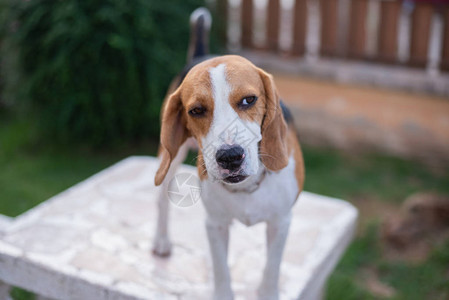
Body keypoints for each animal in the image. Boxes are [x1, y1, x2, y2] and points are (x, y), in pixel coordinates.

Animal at [153, 7, 304, 300]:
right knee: (162, 199)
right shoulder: (216, 224)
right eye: (196, 110)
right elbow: (222, 269)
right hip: (169, 158)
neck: (247, 187)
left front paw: (268, 291)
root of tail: (201, 53)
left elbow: (272, 268)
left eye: (249, 100)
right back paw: (161, 240)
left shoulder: (281, 222)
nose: (230, 157)